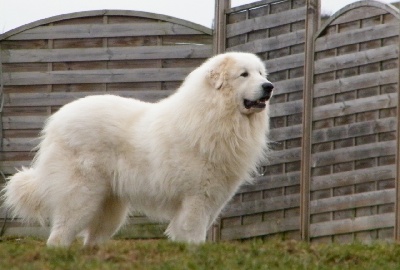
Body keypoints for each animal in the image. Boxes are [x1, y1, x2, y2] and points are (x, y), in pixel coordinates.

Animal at [2, 51, 272, 247]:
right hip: (80, 198)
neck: (215, 115)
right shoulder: (195, 202)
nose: (269, 86)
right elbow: (194, 240)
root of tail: (55, 122)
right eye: (244, 74)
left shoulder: (211, 202)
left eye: (260, 73)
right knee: (58, 238)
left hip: (109, 210)